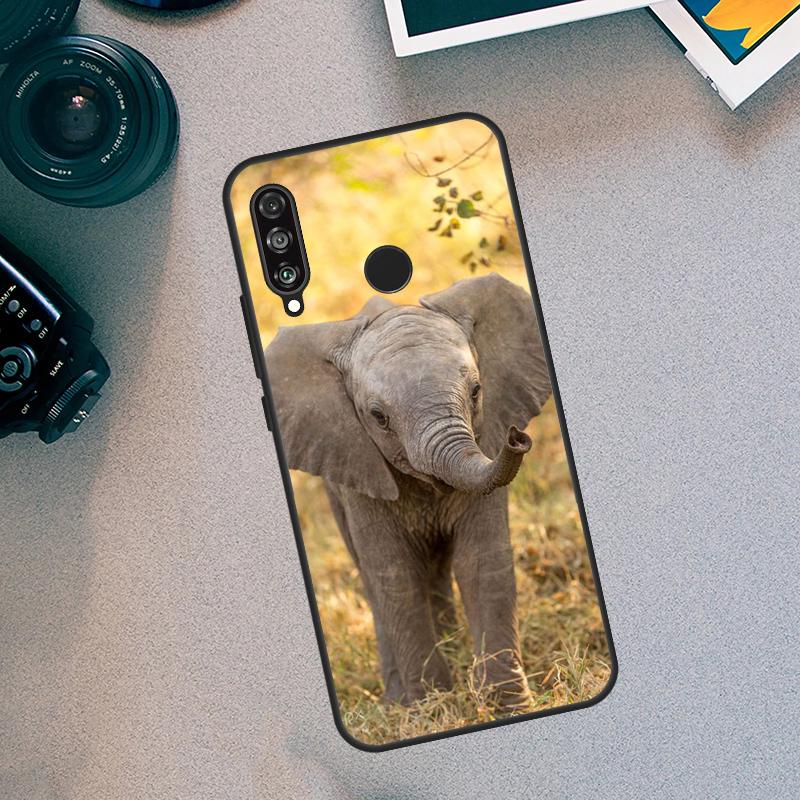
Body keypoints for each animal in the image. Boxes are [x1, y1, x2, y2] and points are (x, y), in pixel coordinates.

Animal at [265, 273, 552, 711]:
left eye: (476, 391)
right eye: (378, 417)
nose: (516, 438)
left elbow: (481, 562)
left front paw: (509, 705)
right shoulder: (359, 476)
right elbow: (395, 574)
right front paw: (429, 707)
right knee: (374, 578)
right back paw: (396, 698)